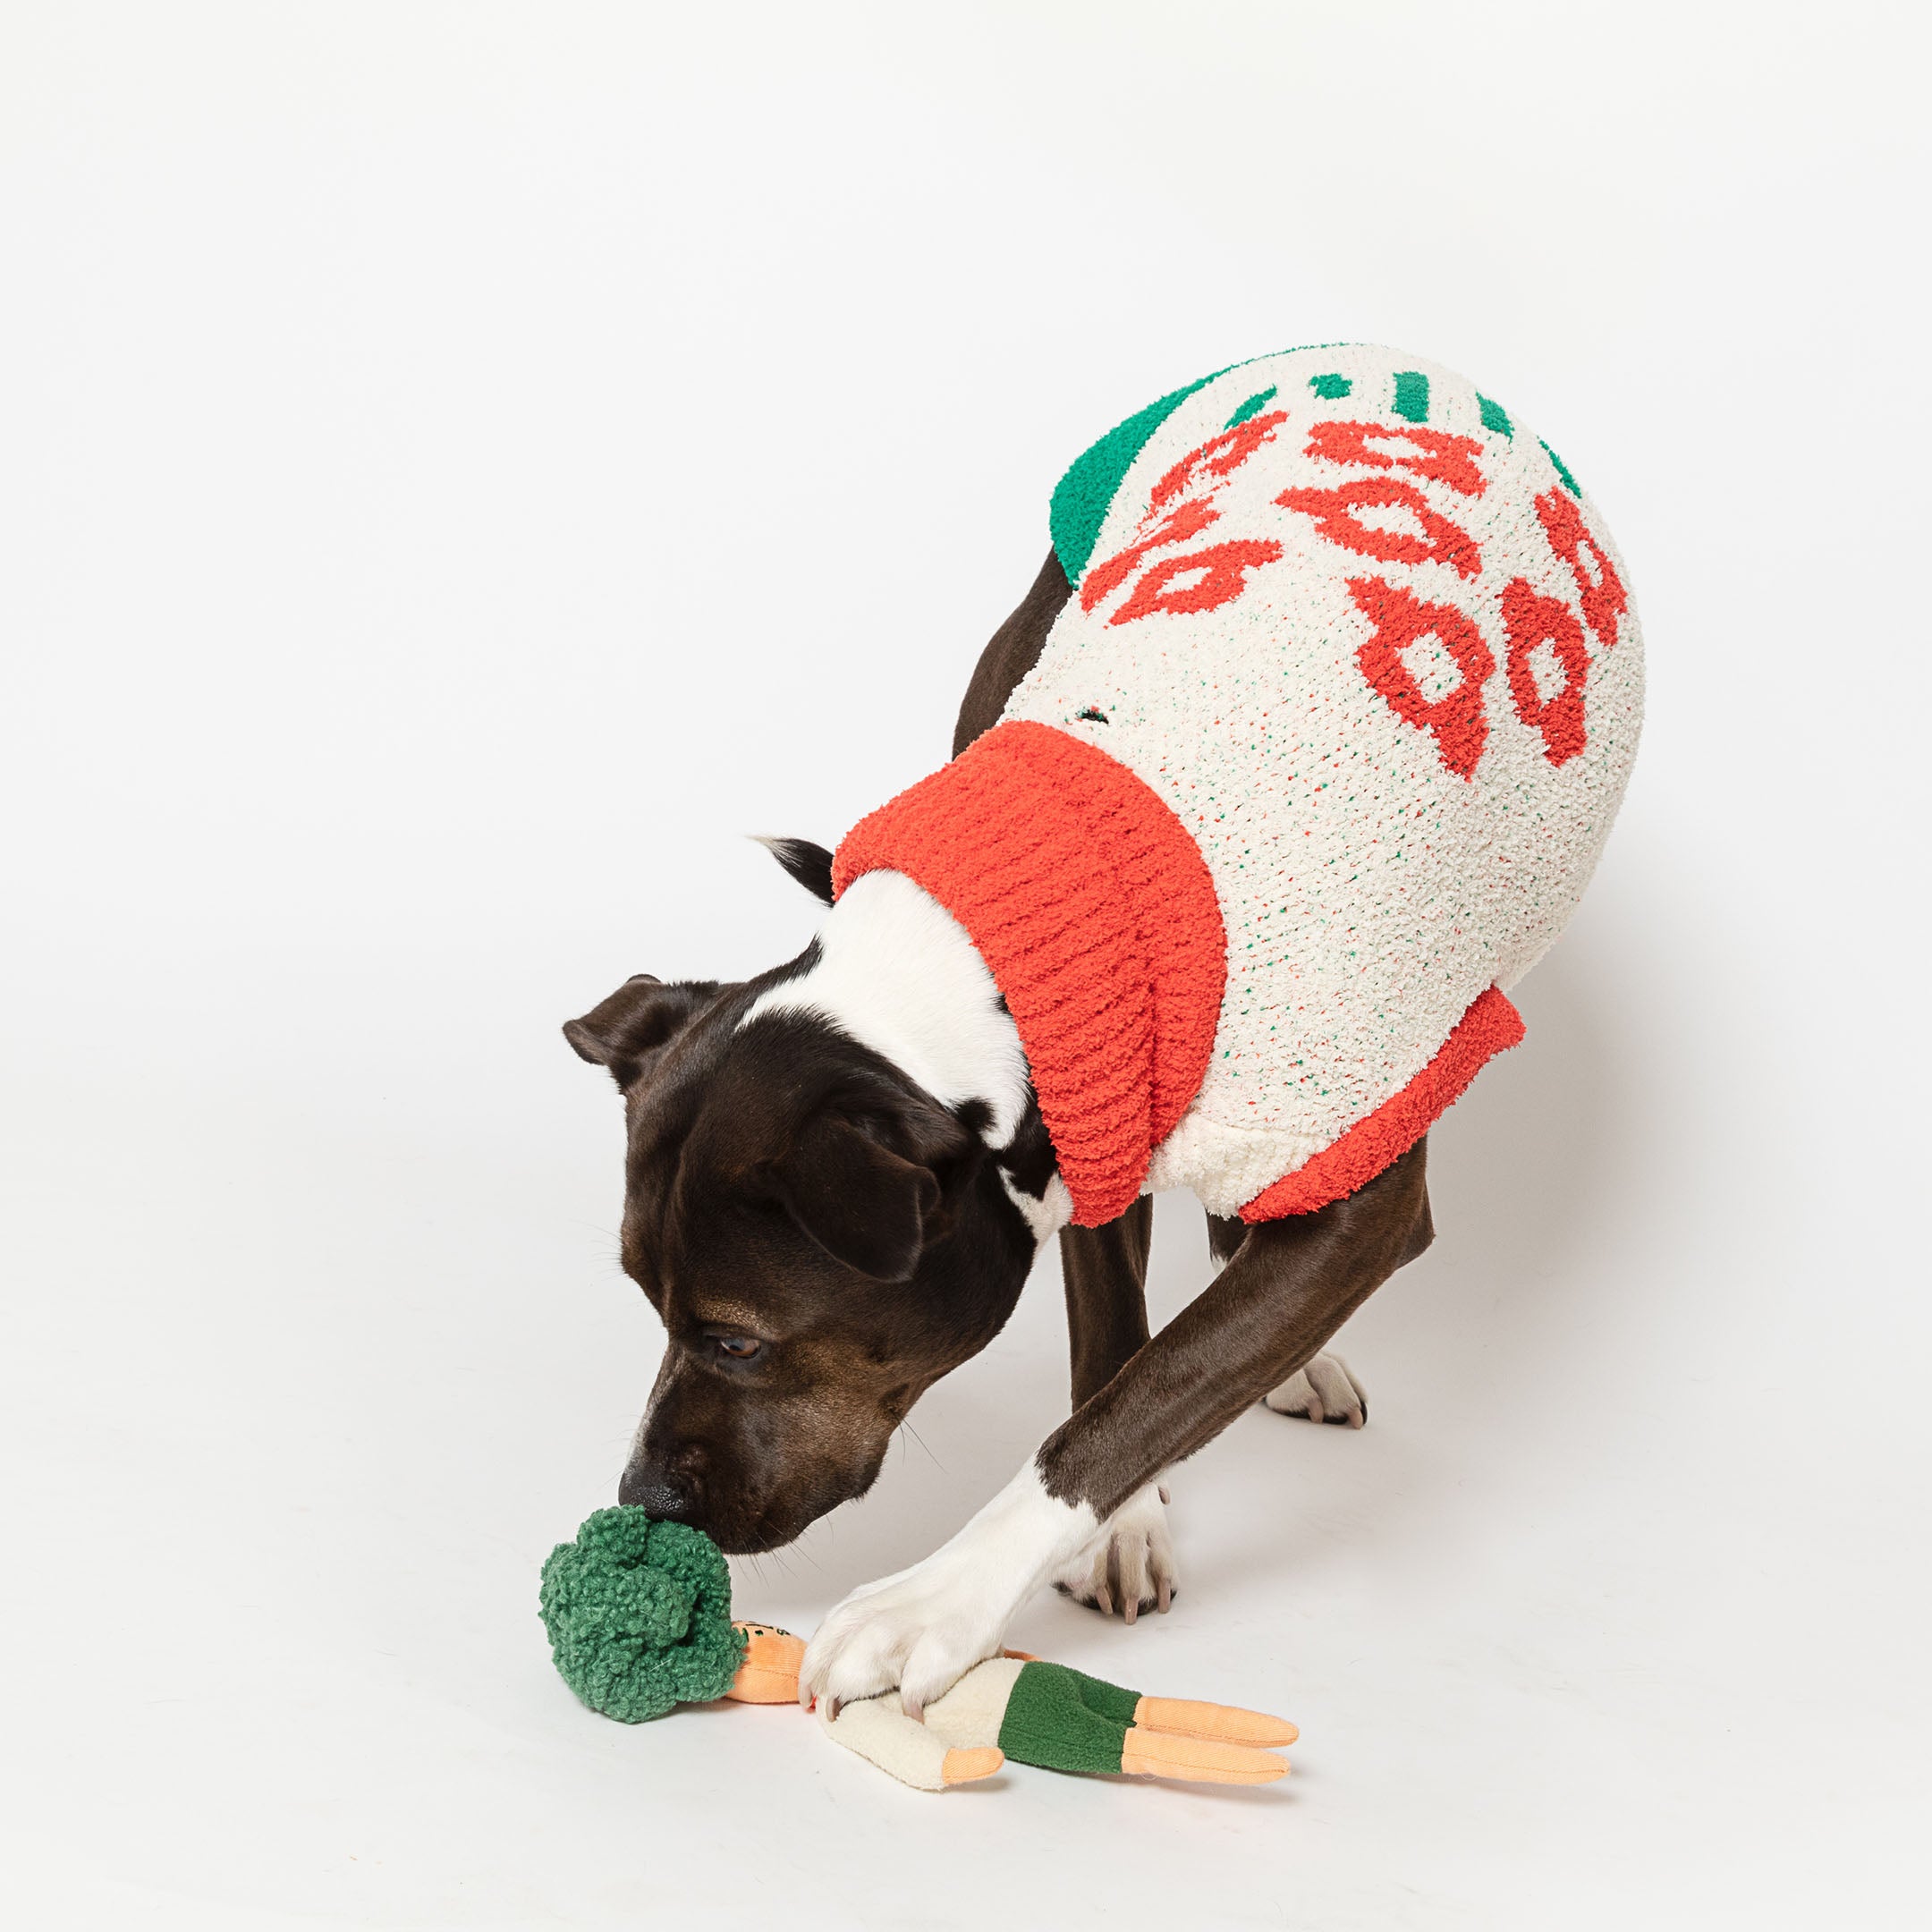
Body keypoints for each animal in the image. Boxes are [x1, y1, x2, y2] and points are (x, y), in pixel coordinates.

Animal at [564, 343, 1638, 1707]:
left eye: (739, 1342)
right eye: (649, 1308)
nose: (644, 1499)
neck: (986, 956)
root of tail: (1374, 353)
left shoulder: (1362, 1183)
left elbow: (1147, 1393)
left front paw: (936, 1602)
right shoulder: (1096, 1115)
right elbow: (1118, 1350)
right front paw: (1125, 1526)